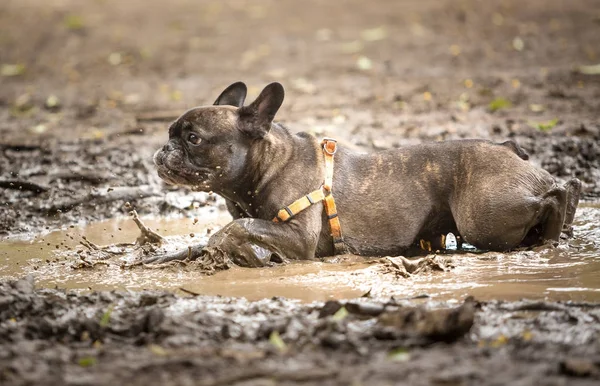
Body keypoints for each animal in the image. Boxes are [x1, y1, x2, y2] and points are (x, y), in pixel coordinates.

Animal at [149, 82, 580, 266]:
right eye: (171, 132)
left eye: (193, 138)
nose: (164, 149)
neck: (267, 165)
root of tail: (508, 150)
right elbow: (227, 232)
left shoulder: (298, 237)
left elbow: (235, 227)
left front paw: (221, 242)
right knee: (564, 188)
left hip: (484, 219)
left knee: (557, 192)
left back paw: (553, 235)